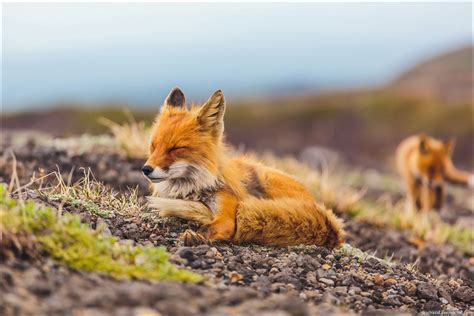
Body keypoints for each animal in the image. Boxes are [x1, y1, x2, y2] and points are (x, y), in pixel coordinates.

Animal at [142, 87, 344, 248]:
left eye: (176, 149)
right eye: (153, 146)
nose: (146, 169)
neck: (192, 189)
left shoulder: (226, 214)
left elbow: (210, 227)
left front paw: (196, 236)